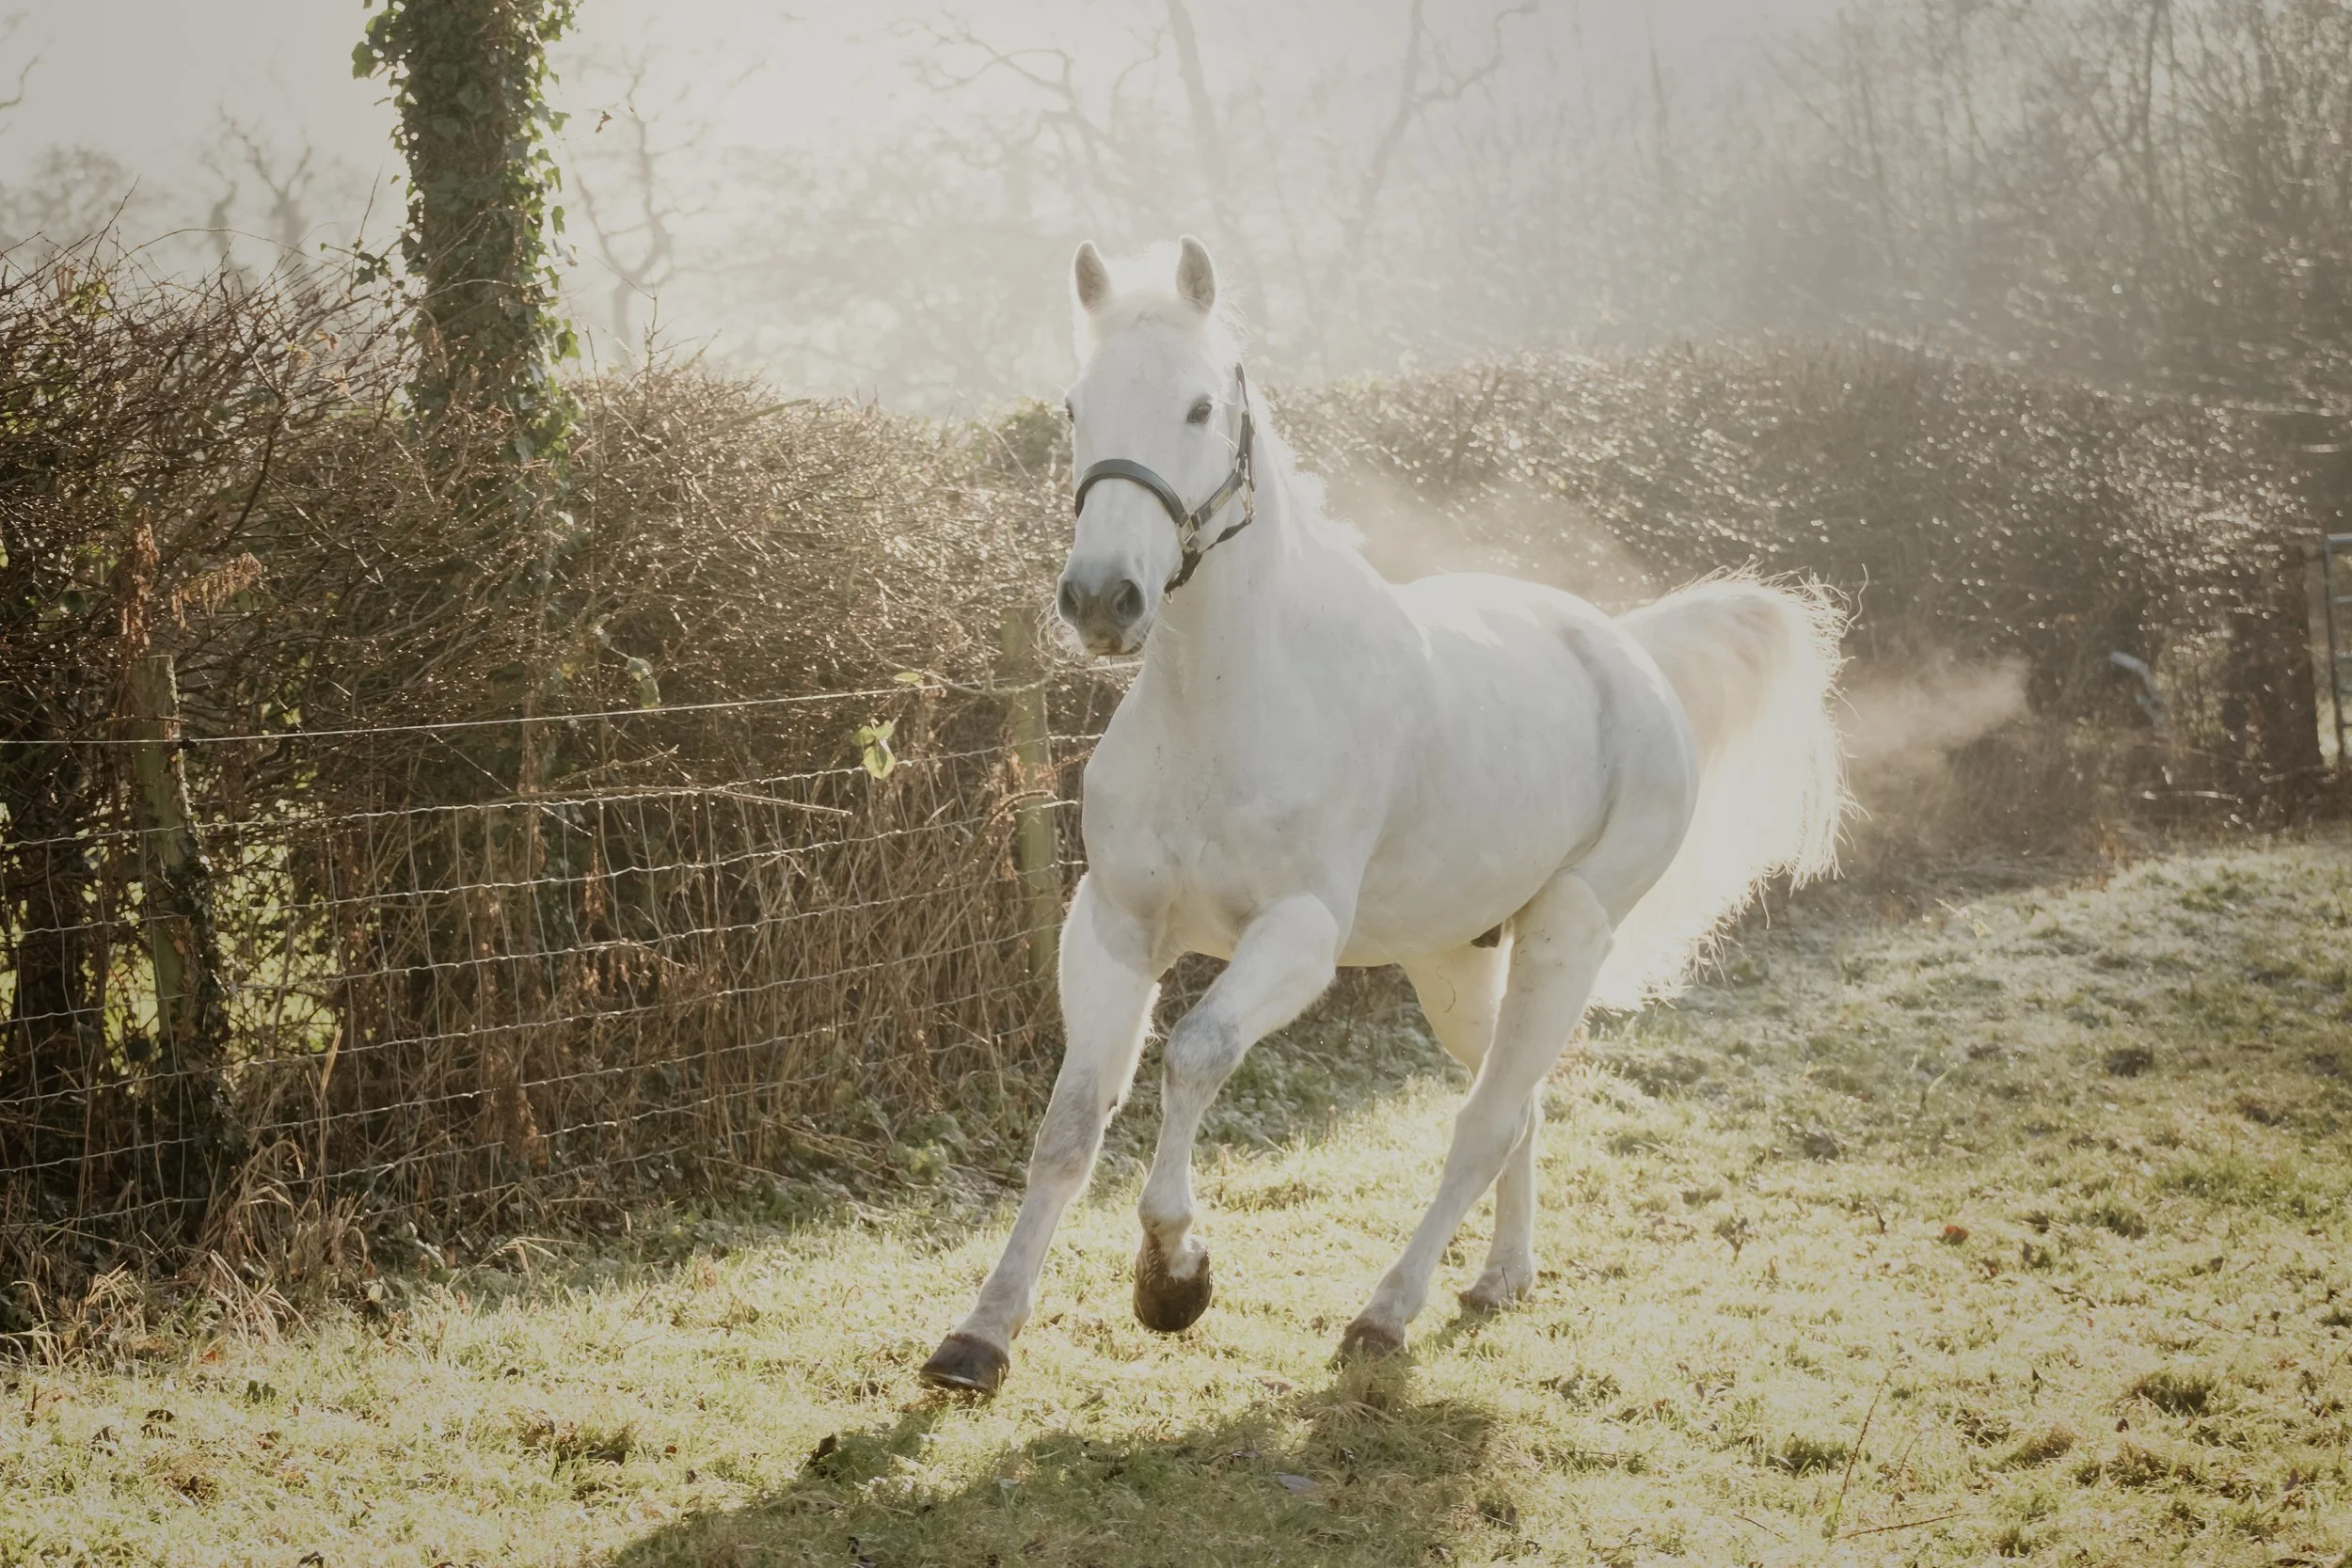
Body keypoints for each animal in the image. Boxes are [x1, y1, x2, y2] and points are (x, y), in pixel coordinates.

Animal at [920, 236, 1848, 1394]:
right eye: (1076, 404)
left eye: (1197, 407)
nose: (1101, 599)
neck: (1226, 700)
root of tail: (1630, 653)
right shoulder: (1115, 926)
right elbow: (1072, 1121)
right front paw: (980, 1335)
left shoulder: (1297, 935)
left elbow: (1194, 1054)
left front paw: (1174, 1275)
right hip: (1452, 956)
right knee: (1518, 1104)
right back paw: (1498, 1278)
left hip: (1565, 935)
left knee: (1484, 1119)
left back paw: (1385, 1314)